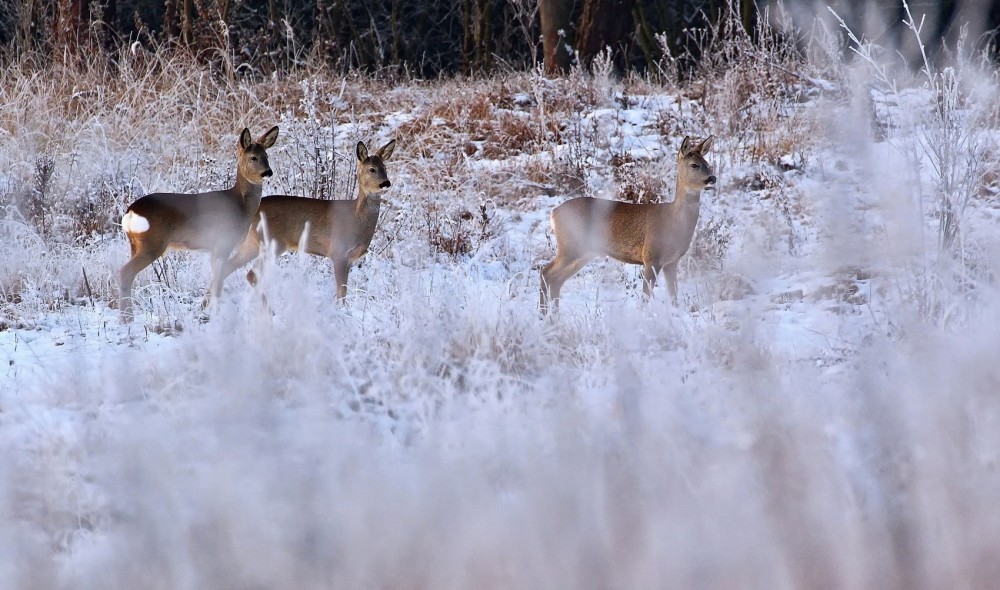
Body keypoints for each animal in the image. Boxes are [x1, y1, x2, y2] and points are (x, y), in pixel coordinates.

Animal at [119, 126, 280, 324]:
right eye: (253, 157)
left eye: (266, 155)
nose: (267, 172)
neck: (240, 205)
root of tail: (130, 212)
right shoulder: (223, 242)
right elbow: (219, 280)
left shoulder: (215, 248)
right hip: (152, 243)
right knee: (125, 272)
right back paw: (126, 319)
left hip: (134, 244)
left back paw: (128, 317)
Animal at [221, 139, 396, 300]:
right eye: (372, 169)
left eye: (385, 168)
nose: (386, 183)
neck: (355, 218)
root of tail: (254, 212)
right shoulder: (338, 252)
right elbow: (341, 293)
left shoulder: (351, 259)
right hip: (271, 243)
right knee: (251, 274)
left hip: (252, 242)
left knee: (229, 268)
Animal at [544, 135, 716, 314]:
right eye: (694, 164)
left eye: (707, 163)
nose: (712, 178)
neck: (674, 221)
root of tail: (553, 213)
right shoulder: (651, 256)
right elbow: (645, 297)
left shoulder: (672, 261)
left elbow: (674, 297)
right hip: (571, 246)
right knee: (547, 273)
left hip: (585, 251)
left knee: (555, 279)